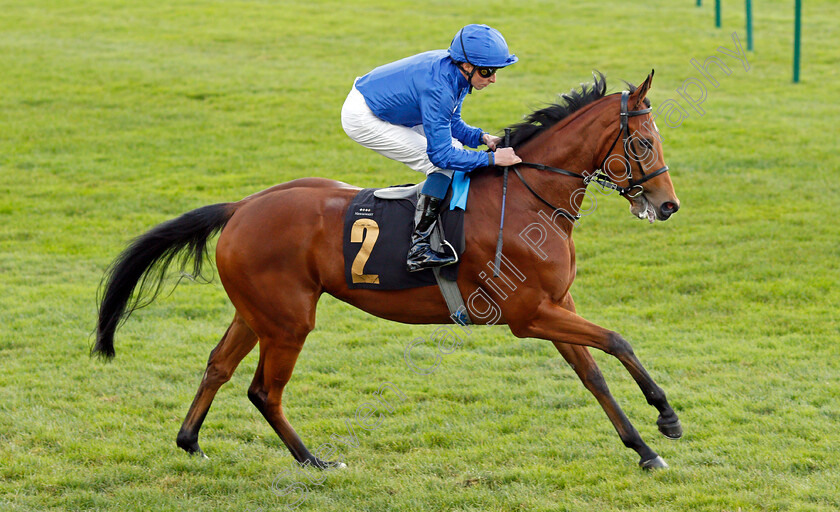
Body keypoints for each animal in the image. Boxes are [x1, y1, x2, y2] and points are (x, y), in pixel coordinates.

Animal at [93, 70, 684, 470]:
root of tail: (242, 207)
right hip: (288, 321)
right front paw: (666, 417)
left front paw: (644, 447)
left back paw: (191, 441)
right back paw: (314, 461)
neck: (528, 197)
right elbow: (618, 340)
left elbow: (594, 375)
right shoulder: (528, 314)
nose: (667, 205)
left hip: (256, 312)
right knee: (264, 390)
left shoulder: (556, 306)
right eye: (642, 141)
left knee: (218, 366)